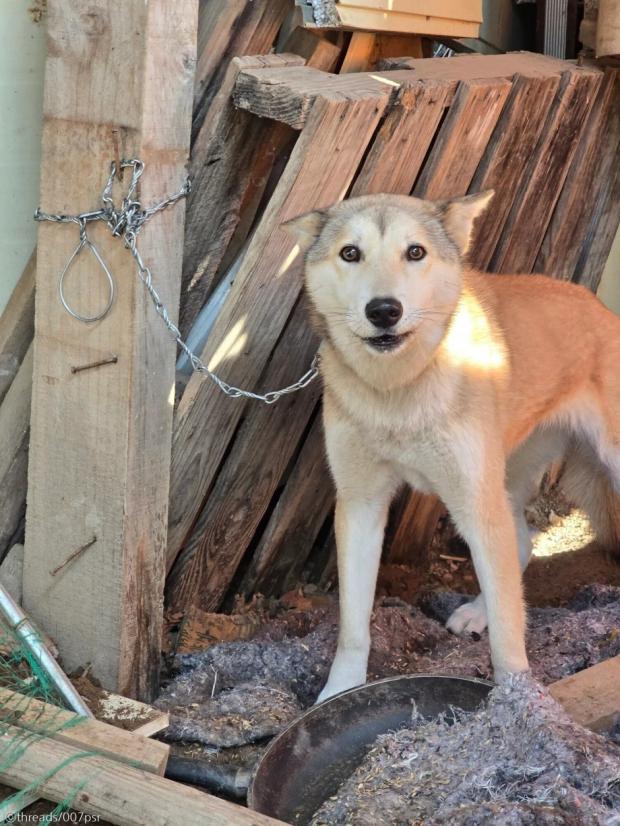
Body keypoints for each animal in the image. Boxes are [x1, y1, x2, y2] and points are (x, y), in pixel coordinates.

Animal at [284, 193, 620, 700]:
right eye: (350, 253)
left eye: (415, 252)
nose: (384, 310)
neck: (399, 391)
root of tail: (600, 307)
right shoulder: (361, 503)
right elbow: (353, 626)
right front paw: (338, 692)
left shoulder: (475, 503)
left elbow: (509, 631)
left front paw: (518, 705)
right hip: (504, 480)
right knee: (521, 547)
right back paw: (477, 611)